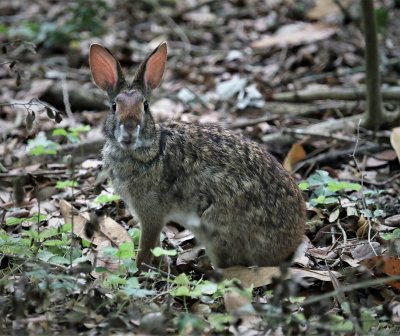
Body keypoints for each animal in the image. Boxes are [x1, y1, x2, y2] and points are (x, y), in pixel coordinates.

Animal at [89, 41, 304, 270]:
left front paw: (138, 269)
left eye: (145, 106)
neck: (148, 150)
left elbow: (146, 245)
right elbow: (156, 245)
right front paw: (161, 266)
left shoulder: (151, 212)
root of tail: (291, 242)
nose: (130, 128)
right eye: (114, 106)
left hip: (216, 232)